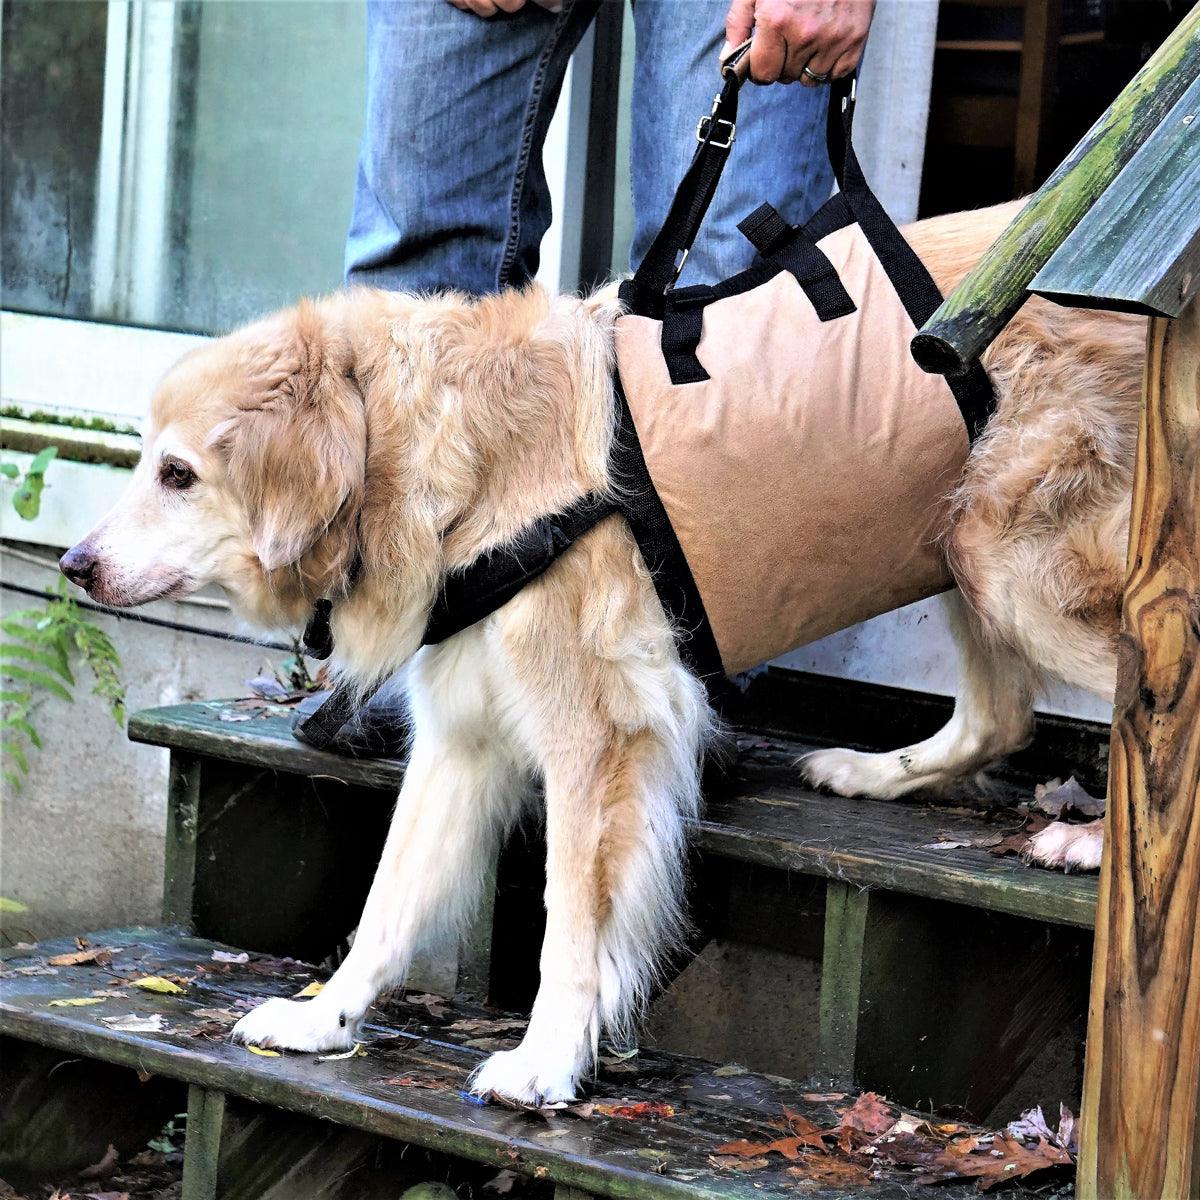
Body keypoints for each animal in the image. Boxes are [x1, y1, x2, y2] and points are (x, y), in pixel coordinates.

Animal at [58, 199, 1142, 1104]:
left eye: (178, 474)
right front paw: (328, 1018)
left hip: (1015, 565)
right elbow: (389, 901)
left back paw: (1092, 842)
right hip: (958, 545)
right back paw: (869, 773)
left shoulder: (598, 737)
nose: (73, 564)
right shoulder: (463, 739)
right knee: (1003, 715)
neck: (446, 457)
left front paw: (544, 1065)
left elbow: (570, 929)